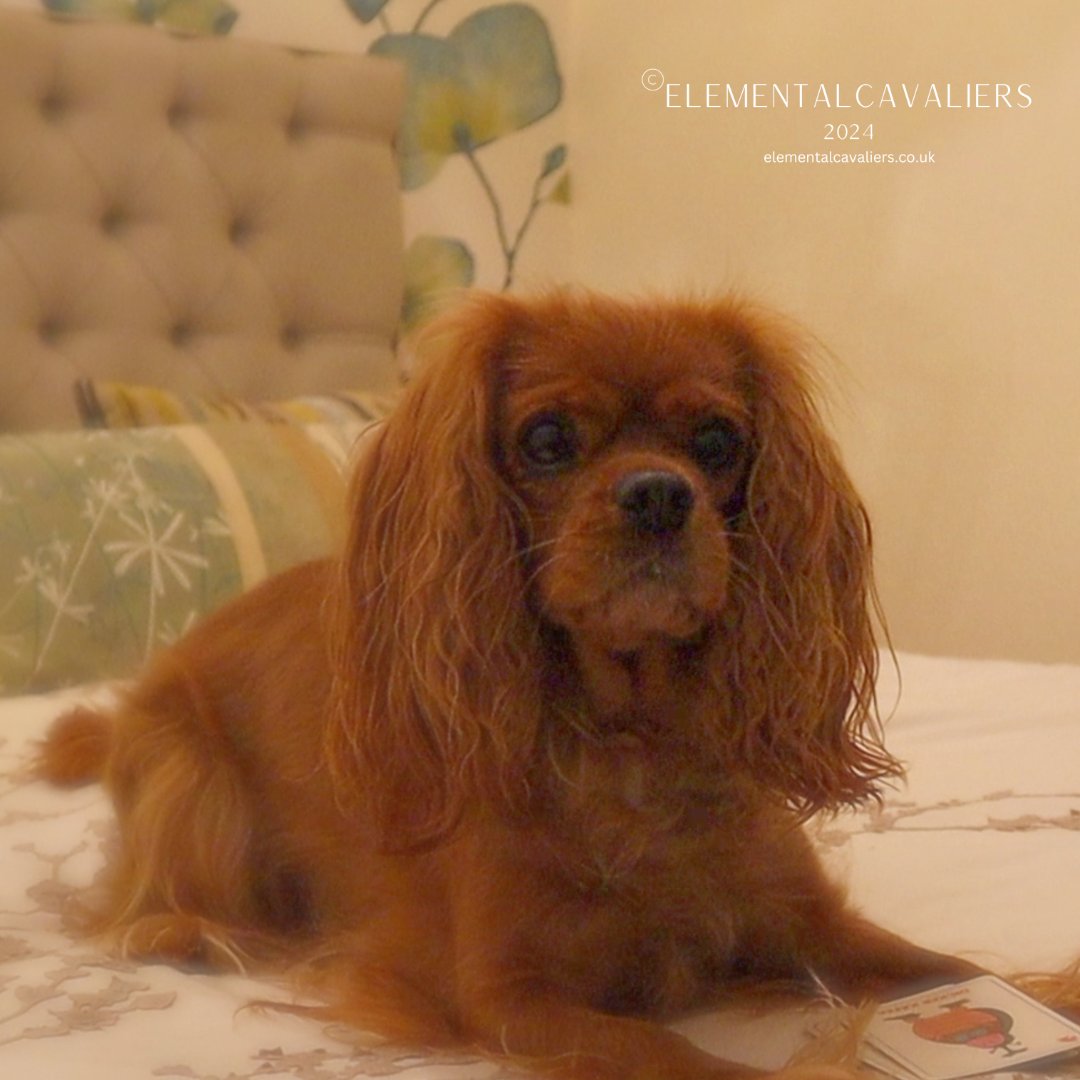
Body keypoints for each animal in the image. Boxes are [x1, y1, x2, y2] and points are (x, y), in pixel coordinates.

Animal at [38, 293, 980, 1080]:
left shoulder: (810, 924)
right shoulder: (509, 998)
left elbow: (958, 970)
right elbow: (680, 1058)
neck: (633, 740)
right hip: (189, 778)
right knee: (141, 897)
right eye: (549, 439)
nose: (659, 493)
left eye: (718, 440)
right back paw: (190, 931)